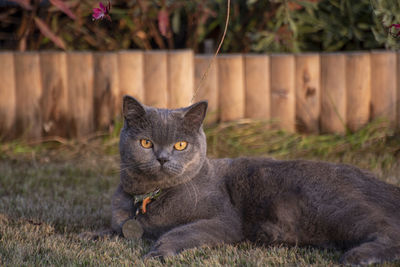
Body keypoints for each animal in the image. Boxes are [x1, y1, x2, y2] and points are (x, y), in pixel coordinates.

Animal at [111, 96, 400, 266]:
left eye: (180, 145)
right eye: (146, 143)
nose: (162, 158)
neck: (150, 195)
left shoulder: (224, 221)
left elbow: (180, 231)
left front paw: (156, 253)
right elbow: (114, 229)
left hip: (335, 207)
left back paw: (356, 257)